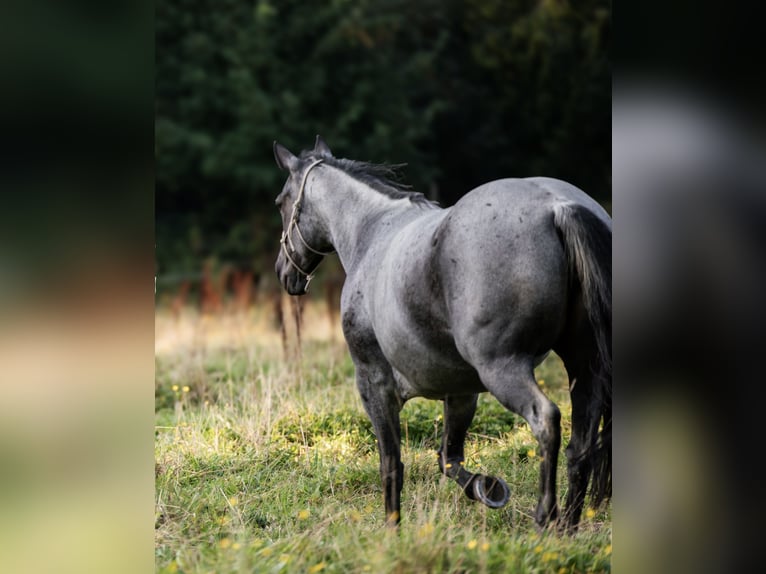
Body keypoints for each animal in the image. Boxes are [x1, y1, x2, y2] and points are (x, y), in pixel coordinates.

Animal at [272, 136, 611, 531]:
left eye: (281, 202)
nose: (284, 272)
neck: (372, 231)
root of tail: (558, 206)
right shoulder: (461, 391)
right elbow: (449, 459)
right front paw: (487, 488)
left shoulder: (374, 384)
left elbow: (392, 464)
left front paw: (392, 529)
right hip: (583, 369)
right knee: (581, 445)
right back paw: (567, 526)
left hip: (504, 369)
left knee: (545, 420)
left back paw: (545, 517)